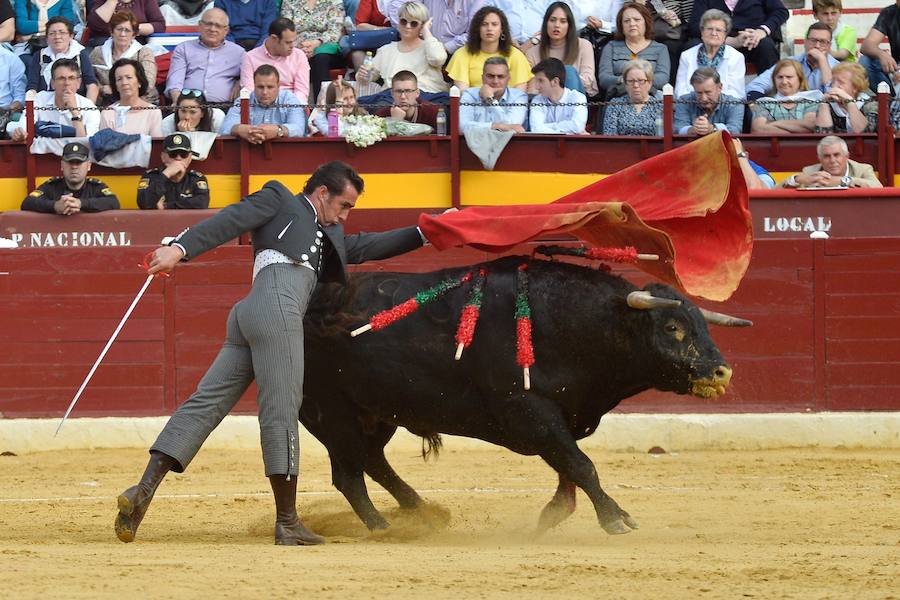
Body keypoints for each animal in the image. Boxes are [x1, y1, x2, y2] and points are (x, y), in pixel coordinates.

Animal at [298, 255, 748, 536]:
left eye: (701, 325)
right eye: (673, 327)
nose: (722, 372)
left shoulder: (564, 417)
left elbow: (570, 466)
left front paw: (558, 513)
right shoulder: (530, 411)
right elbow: (582, 465)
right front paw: (614, 519)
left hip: (377, 412)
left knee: (373, 461)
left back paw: (423, 513)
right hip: (331, 412)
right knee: (350, 475)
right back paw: (383, 528)